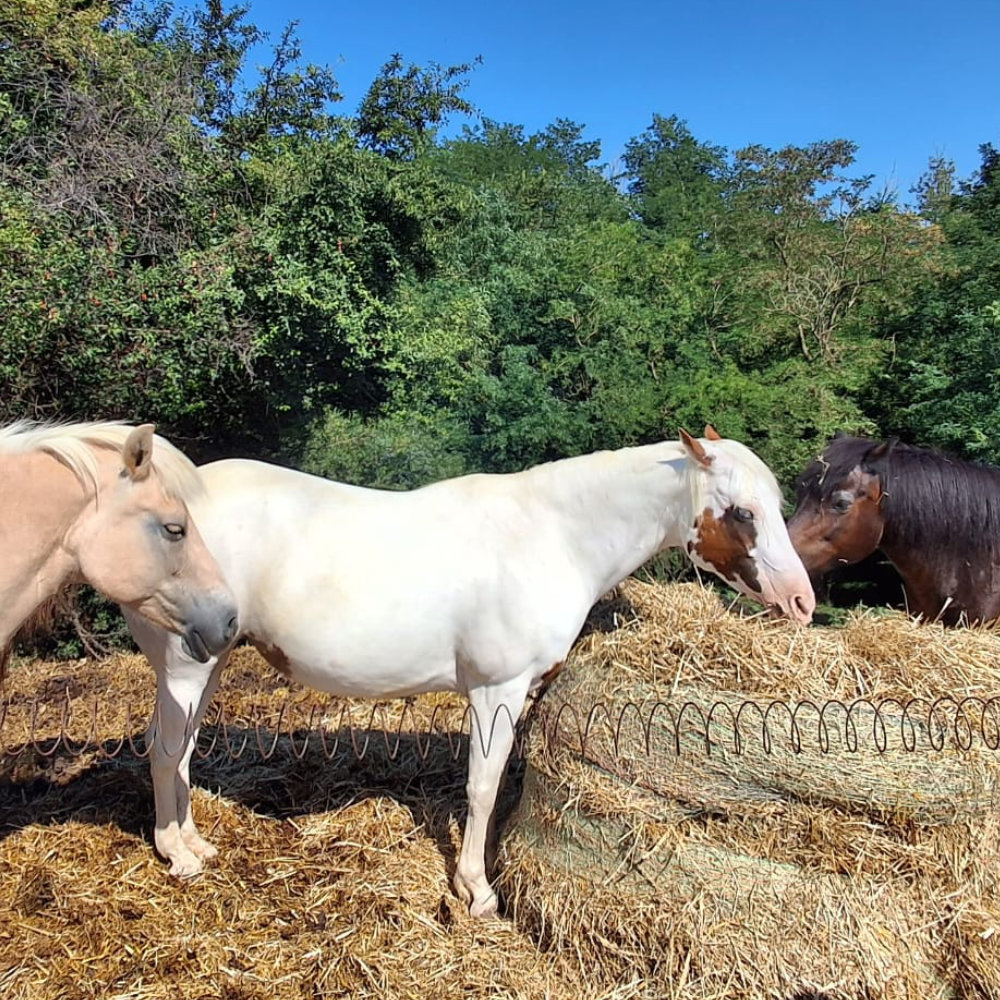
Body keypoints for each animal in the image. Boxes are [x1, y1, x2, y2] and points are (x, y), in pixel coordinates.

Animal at [124, 425, 814, 917]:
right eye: (744, 513)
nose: (802, 601)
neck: (552, 535)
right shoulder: (495, 690)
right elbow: (482, 786)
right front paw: (475, 890)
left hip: (210, 659)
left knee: (183, 750)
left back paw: (194, 841)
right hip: (185, 665)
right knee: (164, 750)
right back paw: (177, 855)